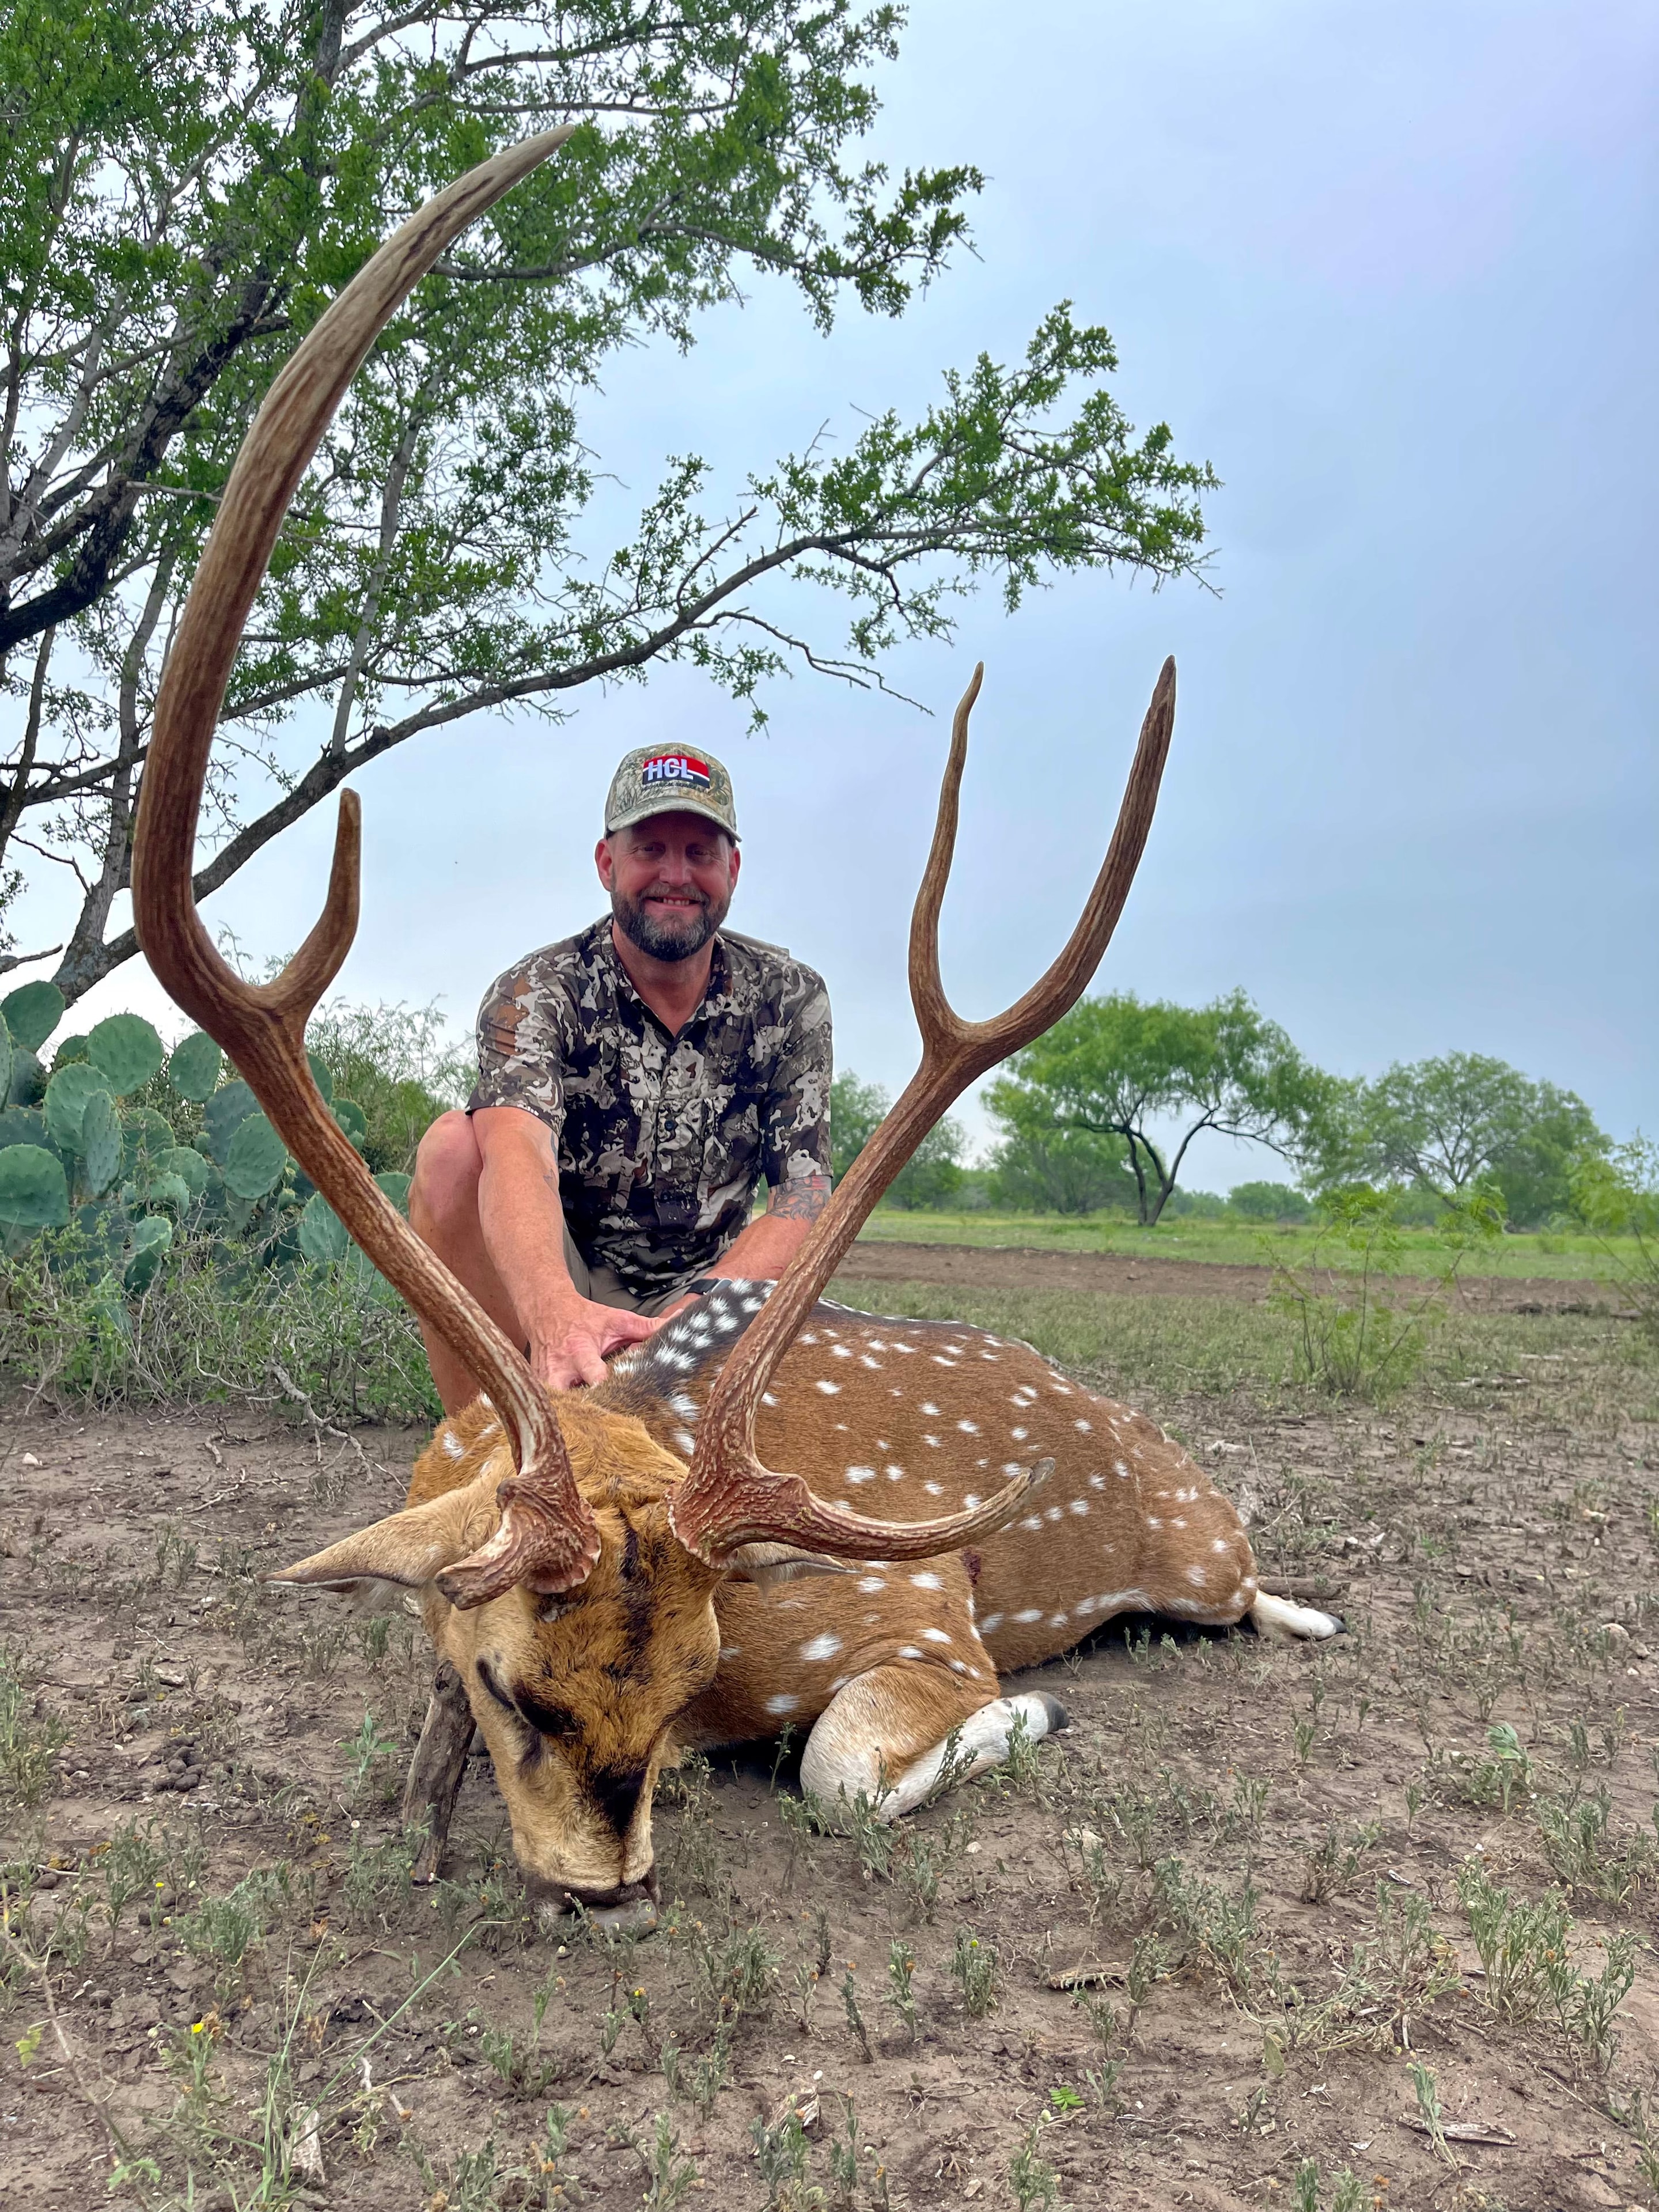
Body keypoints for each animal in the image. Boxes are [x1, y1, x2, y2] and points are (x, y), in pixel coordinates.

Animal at [131, 128, 1341, 1939]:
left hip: (1199, 1549)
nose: (606, 1887)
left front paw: (1024, 1715)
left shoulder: (910, 1603)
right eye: (501, 1679)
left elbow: (845, 1768)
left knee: (1252, 1590)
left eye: (700, 1657)